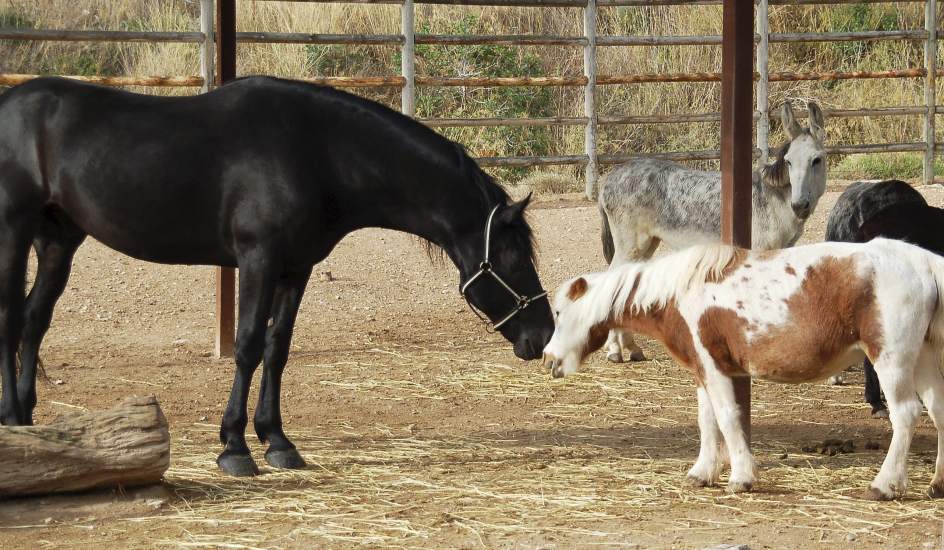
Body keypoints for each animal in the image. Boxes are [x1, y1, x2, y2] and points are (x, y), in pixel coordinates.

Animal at [0, 75, 555, 476]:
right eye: (513, 260)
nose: (543, 334)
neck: (319, 152)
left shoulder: (296, 268)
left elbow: (278, 347)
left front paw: (278, 441)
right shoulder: (258, 260)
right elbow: (247, 344)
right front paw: (234, 447)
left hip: (59, 240)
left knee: (34, 321)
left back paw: (28, 425)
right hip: (14, 230)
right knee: (10, 320)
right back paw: (10, 417)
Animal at [543, 239, 944, 500]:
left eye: (559, 313)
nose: (548, 360)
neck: (680, 292)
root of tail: (922, 262)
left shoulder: (716, 369)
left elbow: (727, 418)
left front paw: (741, 478)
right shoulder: (704, 369)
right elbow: (707, 421)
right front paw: (702, 473)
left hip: (891, 361)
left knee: (906, 415)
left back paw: (885, 485)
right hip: (922, 359)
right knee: (939, 412)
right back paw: (937, 484)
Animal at [597, 101, 827, 363]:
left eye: (816, 160)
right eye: (788, 162)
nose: (799, 206)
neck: (773, 198)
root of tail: (609, 179)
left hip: (646, 245)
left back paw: (631, 348)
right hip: (631, 245)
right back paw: (615, 350)